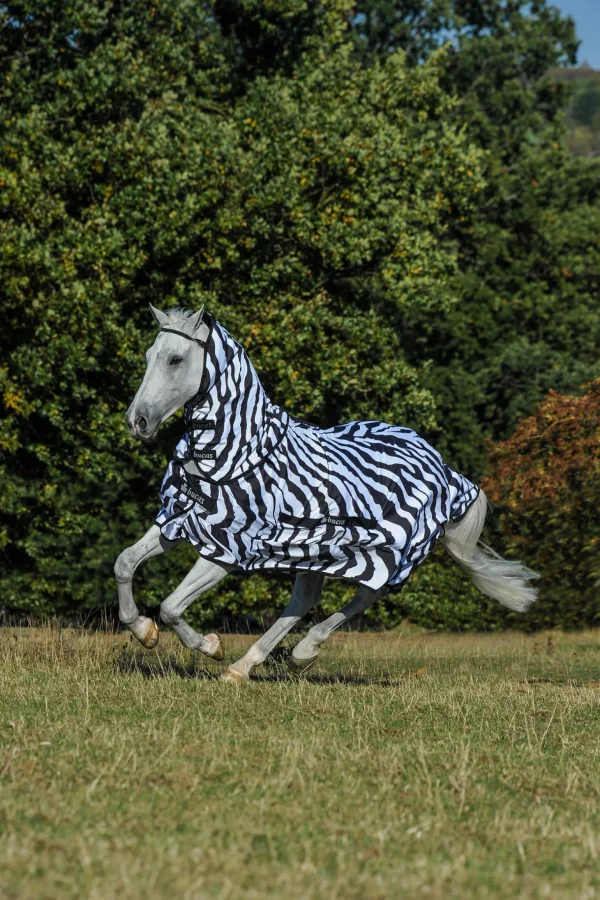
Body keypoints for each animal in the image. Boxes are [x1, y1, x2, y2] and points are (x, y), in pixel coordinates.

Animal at [115, 304, 536, 684]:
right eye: (149, 355)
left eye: (175, 359)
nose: (137, 422)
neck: (233, 452)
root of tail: (441, 466)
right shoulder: (180, 519)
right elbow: (124, 564)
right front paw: (144, 632)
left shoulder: (228, 547)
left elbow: (171, 607)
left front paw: (210, 645)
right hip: (314, 551)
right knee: (303, 602)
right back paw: (245, 666)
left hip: (387, 554)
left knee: (364, 597)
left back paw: (298, 654)